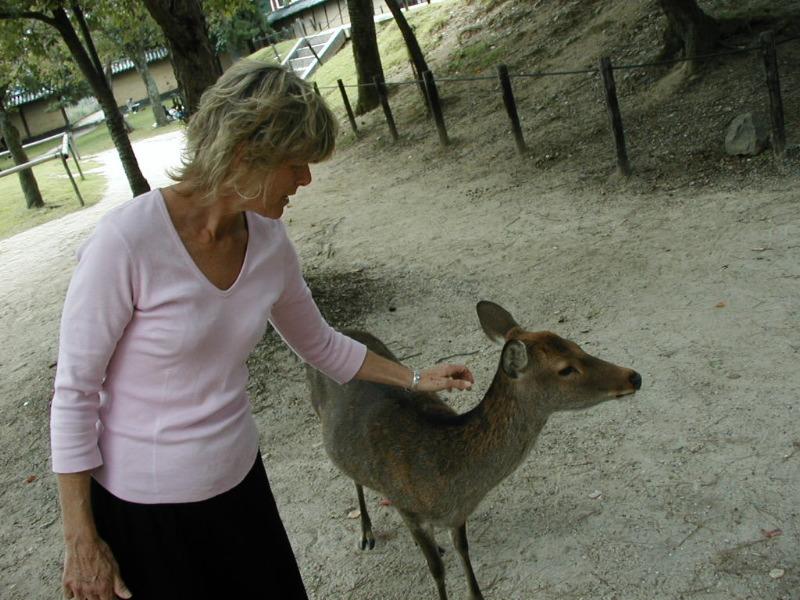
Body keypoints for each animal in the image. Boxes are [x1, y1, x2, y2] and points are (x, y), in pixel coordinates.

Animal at [306, 302, 644, 596]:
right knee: (354, 477)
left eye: (577, 345)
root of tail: (338, 328)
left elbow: (463, 551)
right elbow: (437, 570)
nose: (635, 376)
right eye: (565, 369)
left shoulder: (458, 515)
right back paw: (366, 534)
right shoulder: (409, 507)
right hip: (320, 415)